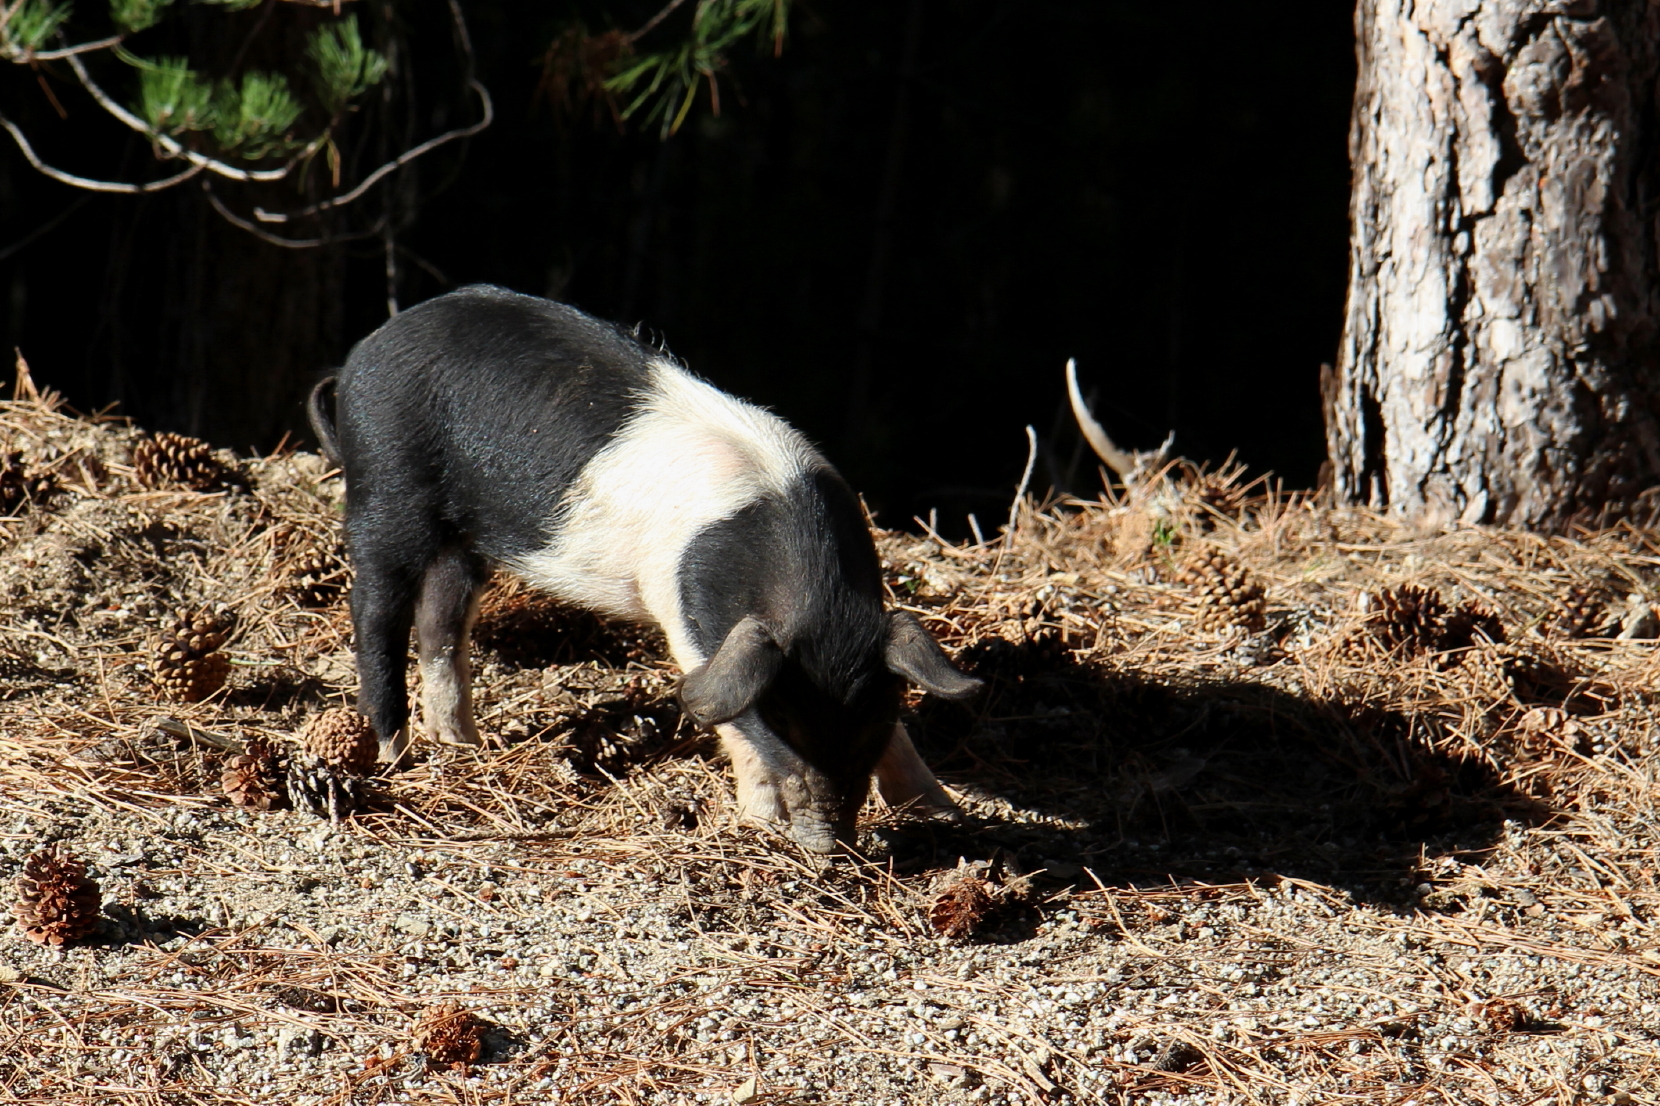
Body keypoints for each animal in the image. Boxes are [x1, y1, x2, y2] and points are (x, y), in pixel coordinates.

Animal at [308, 285, 982, 850]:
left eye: (873, 717)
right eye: (783, 717)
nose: (829, 843)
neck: (805, 592)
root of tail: (370, 347)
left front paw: (946, 814)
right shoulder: (687, 617)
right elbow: (726, 712)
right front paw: (759, 824)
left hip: (465, 535)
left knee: (442, 624)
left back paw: (465, 746)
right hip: (385, 486)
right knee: (375, 612)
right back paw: (395, 756)